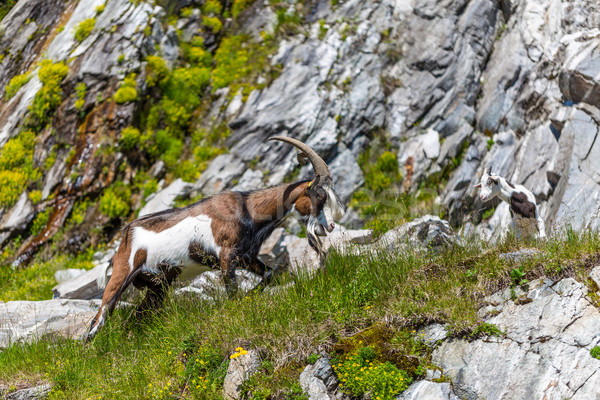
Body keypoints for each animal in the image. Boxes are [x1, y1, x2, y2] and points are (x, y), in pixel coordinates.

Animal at [86, 137, 344, 338]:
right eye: (320, 194)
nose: (330, 225)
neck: (247, 209)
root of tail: (124, 239)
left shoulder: (246, 256)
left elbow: (269, 274)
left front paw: (250, 296)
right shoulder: (226, 255)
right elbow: (232, 291)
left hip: (158, 285)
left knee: (139, 315)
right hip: (121, 275)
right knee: (97, 321)